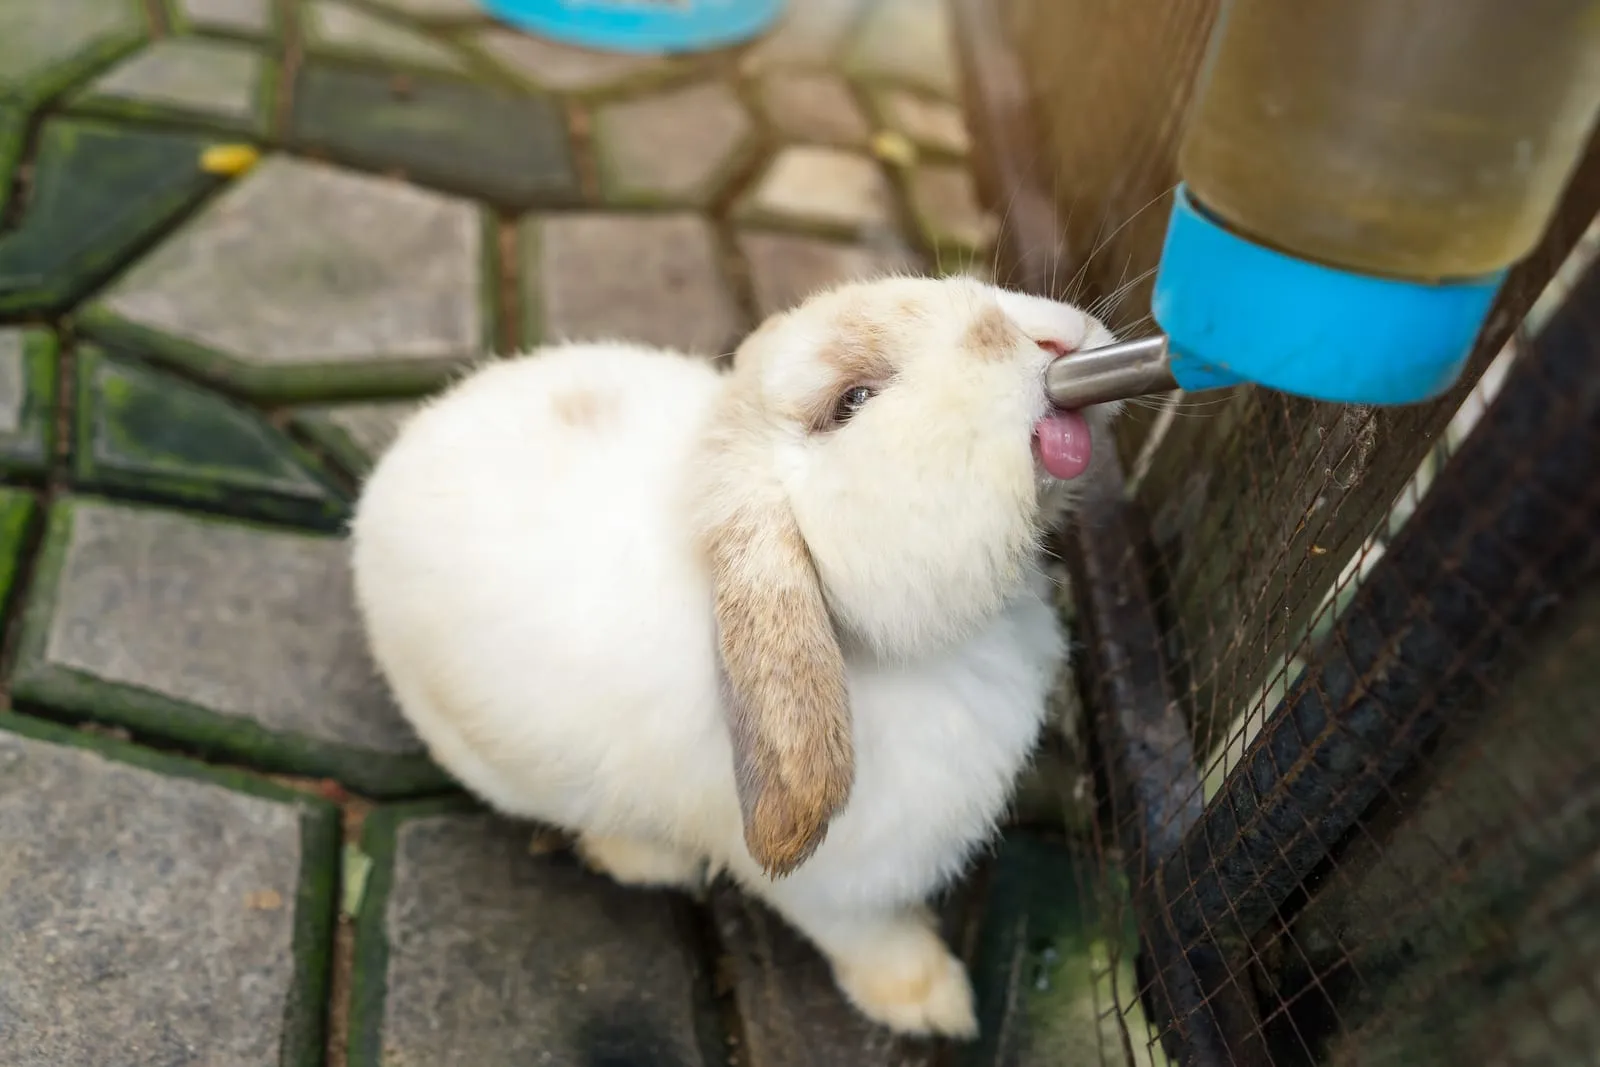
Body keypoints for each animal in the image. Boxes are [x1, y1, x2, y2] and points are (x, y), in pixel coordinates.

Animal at [348, 274, 1120, 1039]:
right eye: (852, 401)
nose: (1053, 341)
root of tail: (380, 485)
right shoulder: (838, 891)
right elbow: (877, 941)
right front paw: (933, 1004)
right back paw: (653, 860)